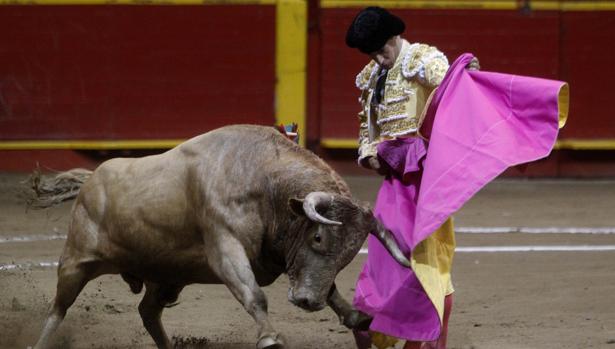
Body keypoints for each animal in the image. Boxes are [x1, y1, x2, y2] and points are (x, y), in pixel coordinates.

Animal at [31, 123, 412, 346]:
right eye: (318, 238)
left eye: (349, 254)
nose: (308, 302)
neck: (264, 182)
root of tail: (91, 180)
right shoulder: (224, 245)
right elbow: (253, 293)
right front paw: (269, 337)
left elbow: (325, 284)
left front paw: (353, 315)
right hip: (75, 262)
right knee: (57, 309)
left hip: (166, 277)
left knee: (148, 312)